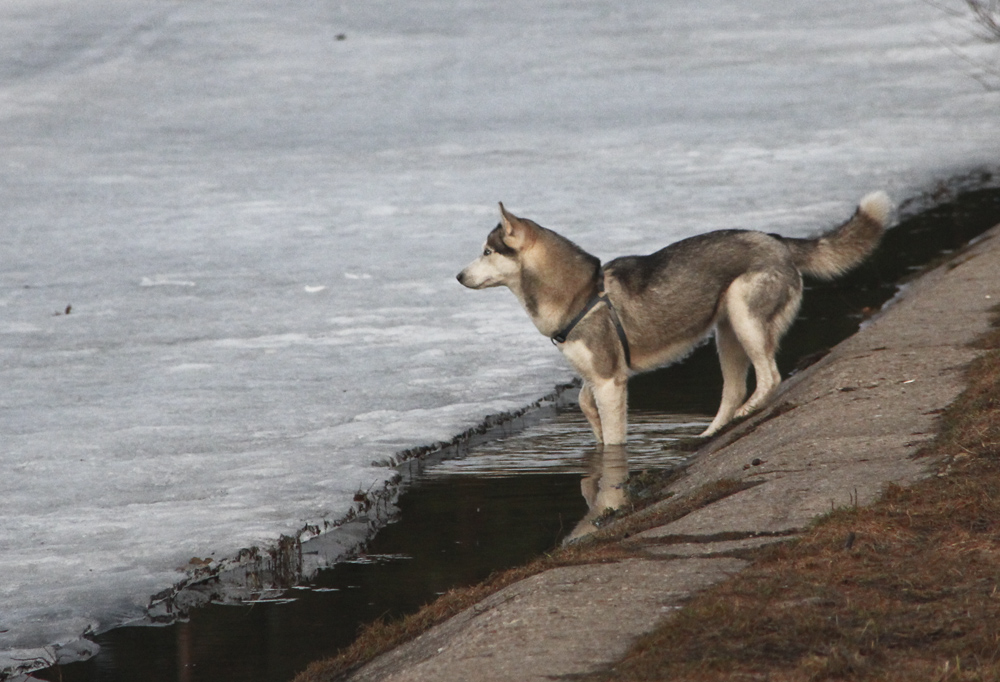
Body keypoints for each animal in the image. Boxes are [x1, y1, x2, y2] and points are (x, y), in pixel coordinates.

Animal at [458, 194, 896, 444]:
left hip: (745, 317)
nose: (458, 277)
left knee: (769, 377)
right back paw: (710, 433)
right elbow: (585, 405)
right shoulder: (596, 375)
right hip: (726, 333)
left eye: (486, 251)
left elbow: (613, 438)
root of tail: (775, 239)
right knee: (734, 389)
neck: (582, 294)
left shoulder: (611, 381)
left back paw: (746, 413)